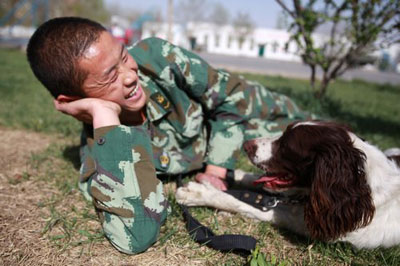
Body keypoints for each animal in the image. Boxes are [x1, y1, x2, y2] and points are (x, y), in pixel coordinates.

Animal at [177, 121, 400, 249]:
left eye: (285, 145)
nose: (246, 145)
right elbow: (252, 180)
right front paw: (222, 176)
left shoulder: (308, 223)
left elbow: (243, 204)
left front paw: (197, 193)